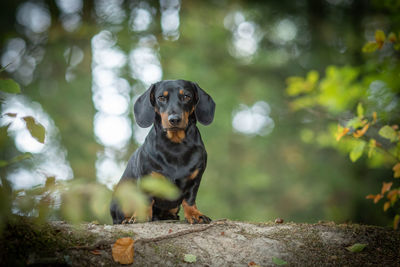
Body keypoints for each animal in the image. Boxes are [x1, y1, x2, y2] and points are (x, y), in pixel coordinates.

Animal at [109, 80, 216, 226]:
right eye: (161, 98)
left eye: (186, 96)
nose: (174, 119)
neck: (175, 146)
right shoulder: (146, 179)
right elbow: (146, 199)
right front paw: (140, 217)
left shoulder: (195, 179)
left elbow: (189, 199)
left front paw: (195, 214)